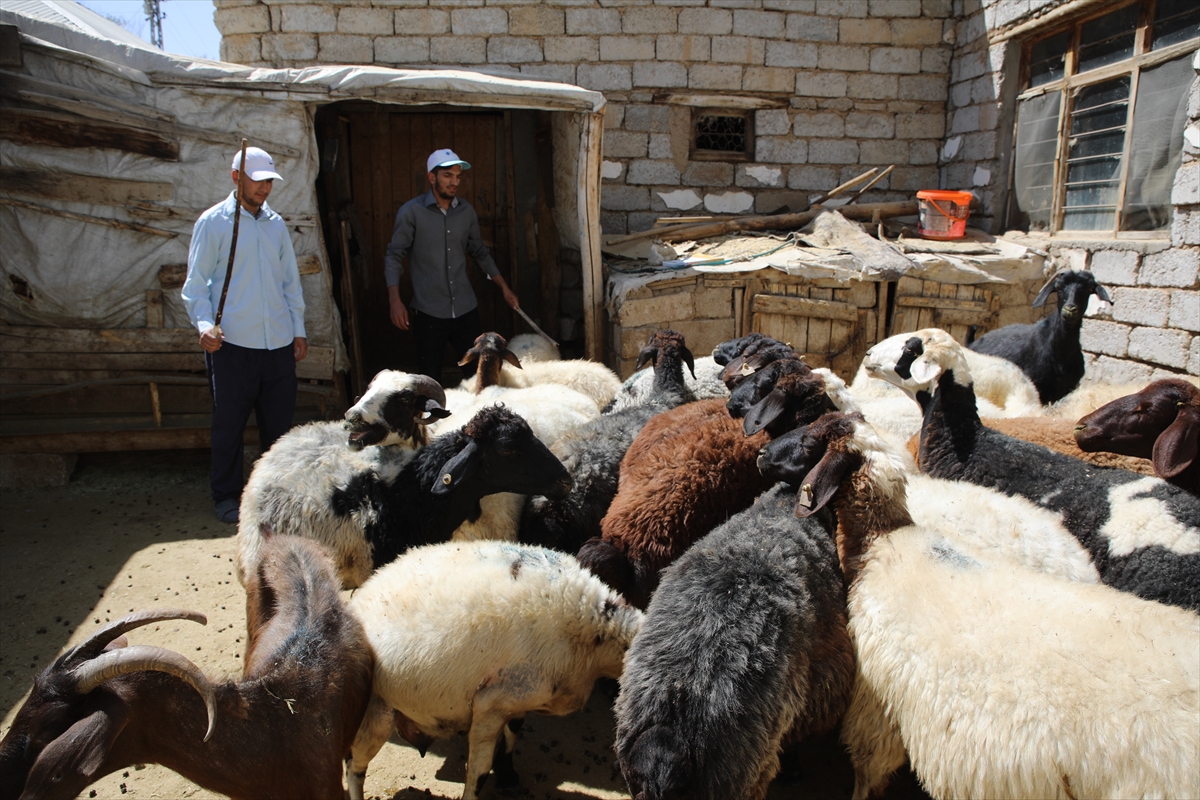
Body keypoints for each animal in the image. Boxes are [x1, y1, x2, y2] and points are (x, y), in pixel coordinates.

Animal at [344, 540, 643, 800]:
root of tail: (359, 598)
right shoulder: (490, 704)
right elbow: (479, 772)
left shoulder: (517, 695)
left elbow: (514, 730)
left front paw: (508, 773)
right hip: (376, 709)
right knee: (354, 766)